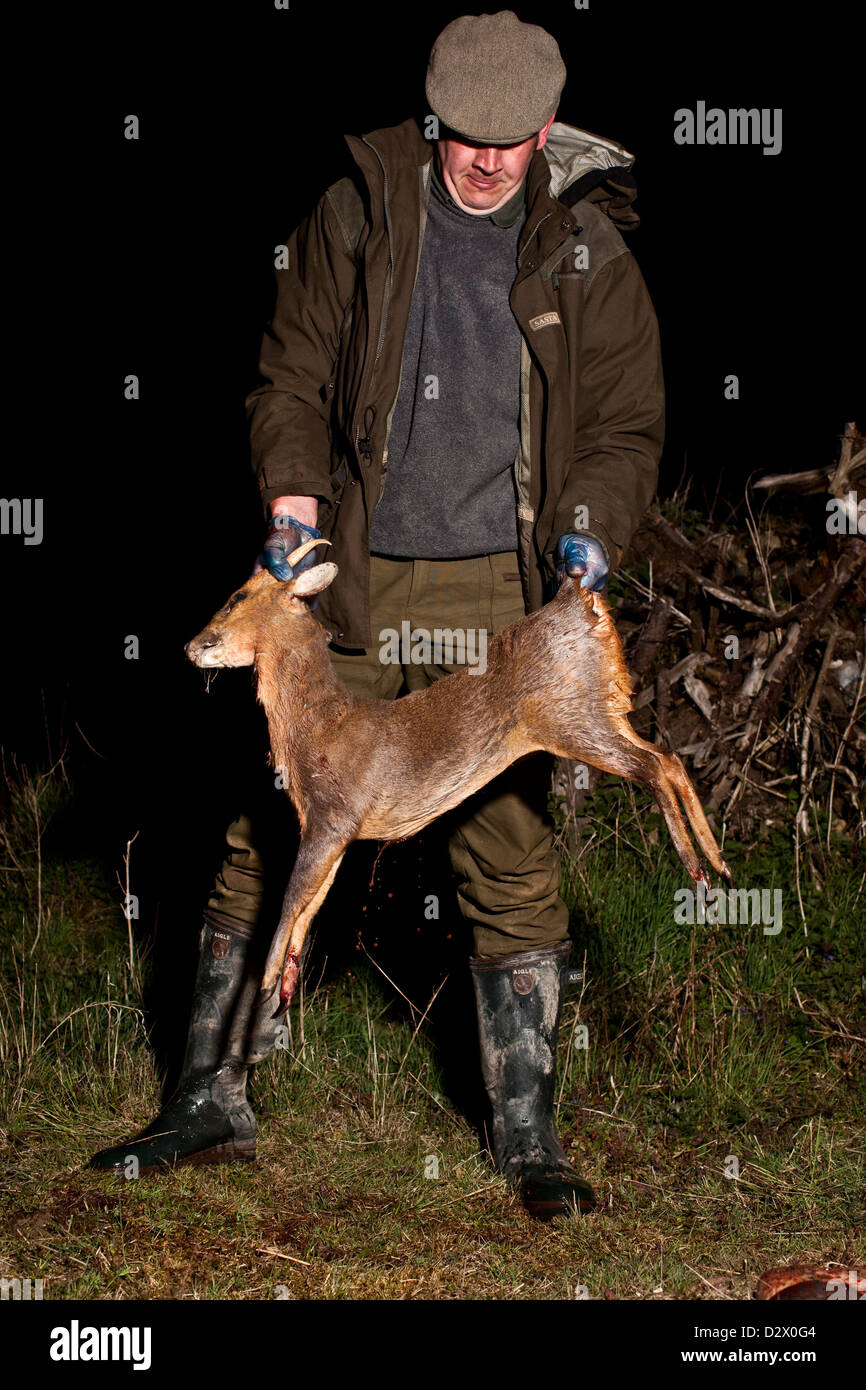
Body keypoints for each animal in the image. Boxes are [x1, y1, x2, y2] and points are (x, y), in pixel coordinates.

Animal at [187, 542, 733, 1023]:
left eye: (237, 595)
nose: (192, 646)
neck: (319, 727)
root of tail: (577, 599)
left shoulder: (331, 816)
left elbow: (286, 904)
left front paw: (262, 987)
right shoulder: (336, 833)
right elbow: (307, 911)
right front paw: (283, 990)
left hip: (570, 719)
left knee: (656, 767)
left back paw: (698, 871)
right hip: (603, 713)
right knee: (670, 758)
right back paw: (719, 865)